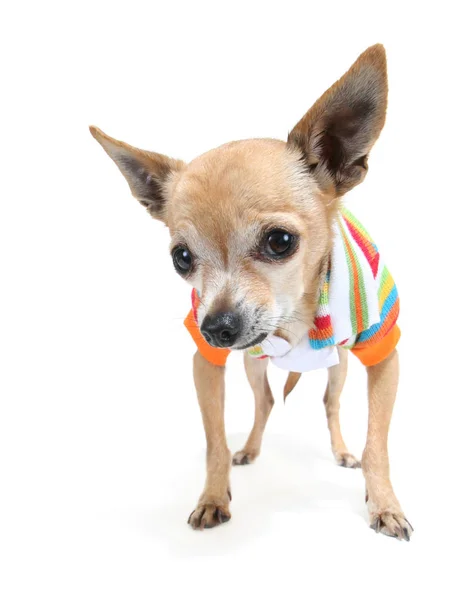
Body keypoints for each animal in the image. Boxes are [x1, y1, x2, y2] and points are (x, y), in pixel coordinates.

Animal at [91, 44, 412, 540]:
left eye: (280, 242)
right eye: (181, 257)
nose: (216, 328)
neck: (294, 318)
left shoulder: (384, 356)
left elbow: (377, 444)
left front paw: (385, 505)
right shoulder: (206, 365)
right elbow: (214, 443)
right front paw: (211, 496)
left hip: (337, 371)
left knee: (330, 404)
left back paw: (341, 450)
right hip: (252, 365)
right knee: (264, 402)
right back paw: (251, 449)